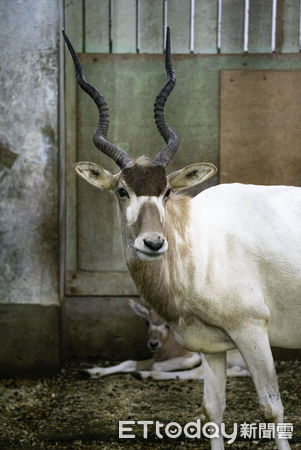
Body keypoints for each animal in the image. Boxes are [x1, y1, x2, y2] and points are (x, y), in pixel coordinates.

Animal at [82, 300, 248, 382]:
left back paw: (145, 375)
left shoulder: (192, 356)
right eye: (147, 322)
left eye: (167, 324)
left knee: (198, 373)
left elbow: (155, 365)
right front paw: (92, 371)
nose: (153, 343)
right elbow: (129, 362)